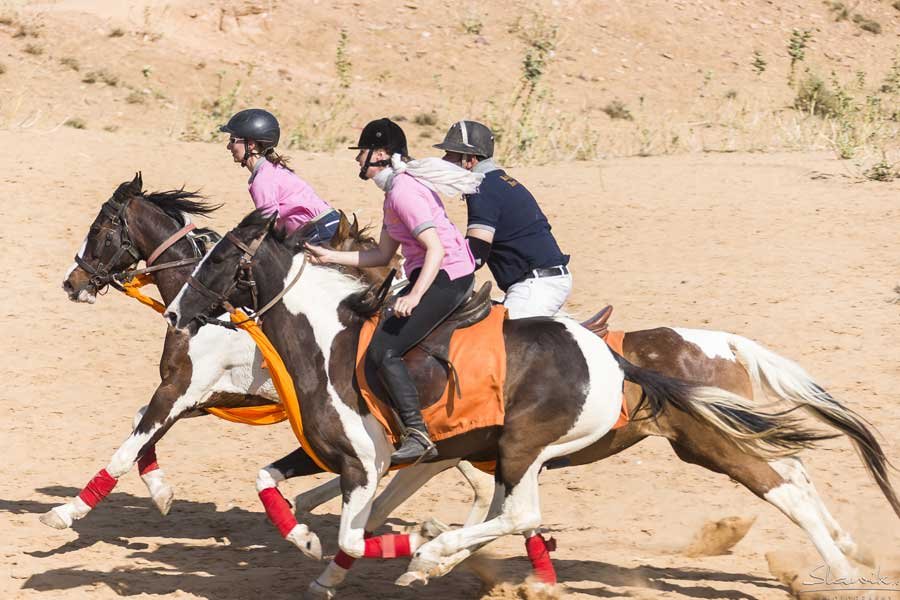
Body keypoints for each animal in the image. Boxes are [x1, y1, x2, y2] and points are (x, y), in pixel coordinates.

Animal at [58, 176, 897, 595]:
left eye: (104, 227)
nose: (75, 281)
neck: (323, 337)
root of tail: (628, 356)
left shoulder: (209, 394)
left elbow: (141, 437)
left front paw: (72, 512)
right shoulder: (328, 442)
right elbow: (270, 483)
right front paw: (310, 548)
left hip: (592, 442)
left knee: (775, 482)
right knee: (789, 472)